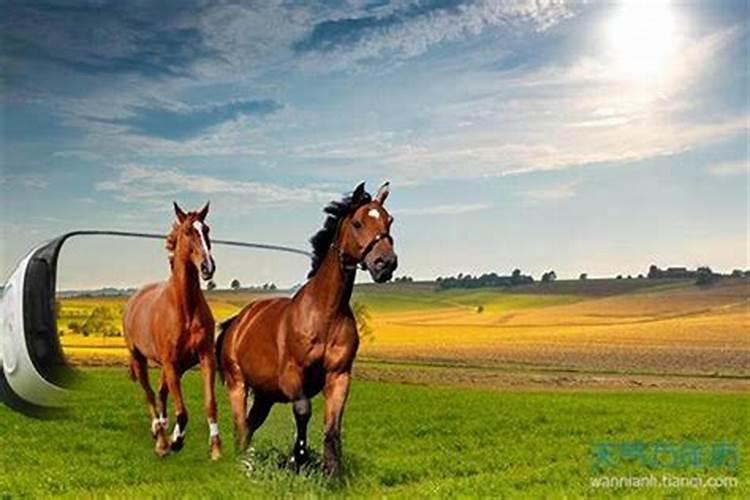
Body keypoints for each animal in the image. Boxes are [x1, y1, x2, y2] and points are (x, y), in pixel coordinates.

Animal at [123, 202, 222, 460]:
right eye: (188, 231)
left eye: (206, 229)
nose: (208, 267)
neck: (184, 307)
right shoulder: (170, 363)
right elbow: (183, 411)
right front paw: (175, 441)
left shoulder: (204, 358)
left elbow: (209, 404)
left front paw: (216, 449)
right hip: (140, 359)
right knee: (150, 394)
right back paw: (160, 438)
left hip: (174, 366)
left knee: (161, 392)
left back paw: (163, 429)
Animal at [216, 181, 397, 478]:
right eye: (358, 223)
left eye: (389, 220)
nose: (386, 263)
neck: (325, 314)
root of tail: (237, 322)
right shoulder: (293, 376)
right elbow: (303, 412)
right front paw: (297, 459)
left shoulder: (338, 376)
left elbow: (333, 427)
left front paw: (332, 474)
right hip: (237, 385)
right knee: (240, 424)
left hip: (265, 395)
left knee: (250, 425)